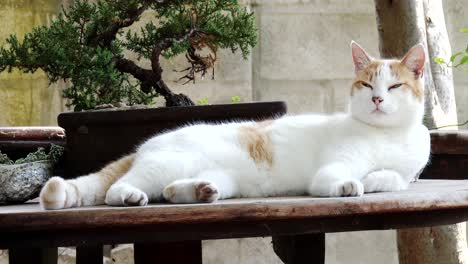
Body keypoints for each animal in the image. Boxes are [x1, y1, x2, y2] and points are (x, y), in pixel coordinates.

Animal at [38, 41, 430, 209]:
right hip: (162, 165)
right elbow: (343, 177)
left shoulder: (408, 172)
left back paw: (198, 191)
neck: (387, 136)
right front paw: (352, 184)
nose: (377, 100)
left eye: (393, 87)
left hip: (223, 179)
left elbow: (397, 178)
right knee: (117, 189)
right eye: (366, 85)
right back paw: (130, 196)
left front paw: (377, 178)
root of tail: (143, 147)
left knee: (170, 191)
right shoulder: (332, 168)